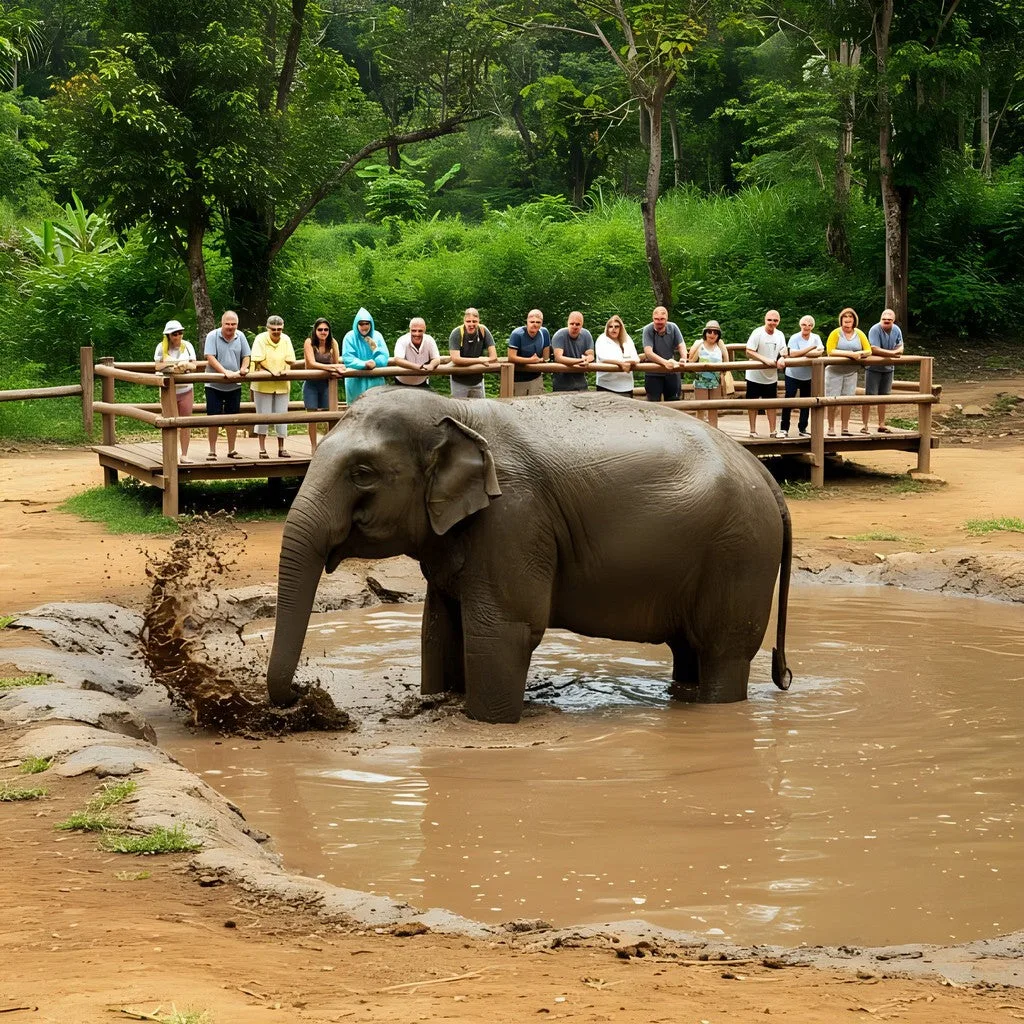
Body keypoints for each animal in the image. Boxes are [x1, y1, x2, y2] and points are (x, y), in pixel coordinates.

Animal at [267, 388, 792, 723]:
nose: (303, 695)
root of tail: (765, 475)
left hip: (740, 554)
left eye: (362, 473)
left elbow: (503, 630)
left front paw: (488, 723)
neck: (458, 412)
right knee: (687, 648)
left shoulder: (515, 518)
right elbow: (438, 627)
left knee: (723, 650)